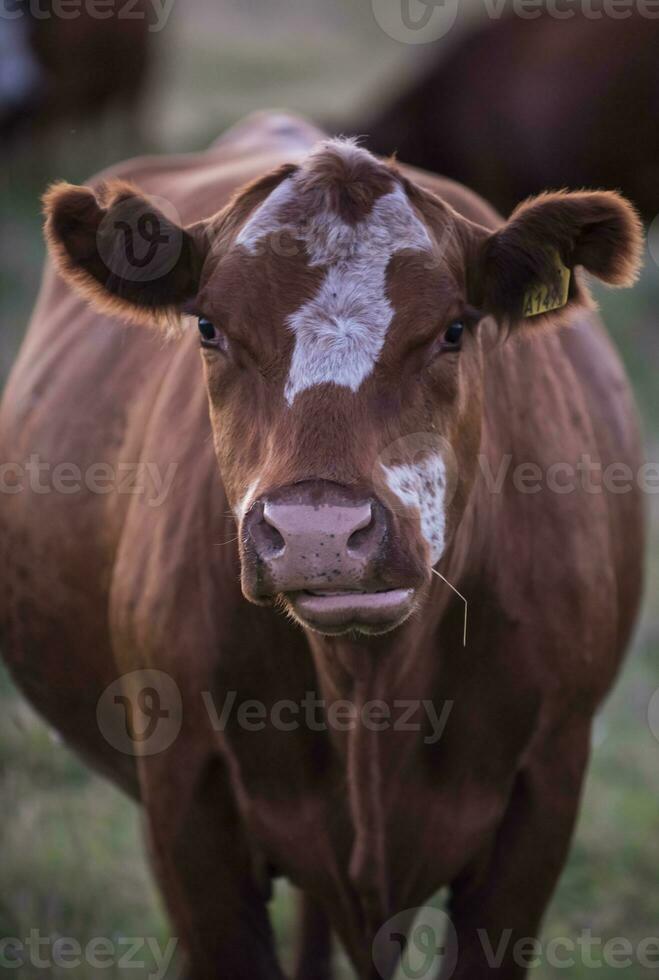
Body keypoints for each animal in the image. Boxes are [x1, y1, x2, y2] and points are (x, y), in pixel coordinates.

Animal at [0, 111, 648, 976]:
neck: (371, 684)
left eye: (453, 330)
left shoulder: (543, 790)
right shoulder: (185, 800)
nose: (318, 533)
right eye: (208, 327)